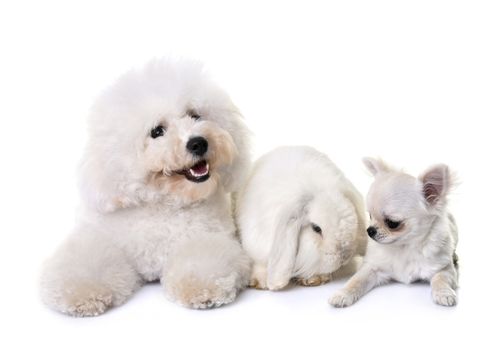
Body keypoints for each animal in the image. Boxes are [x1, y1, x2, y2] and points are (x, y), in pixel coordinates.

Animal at [39, 58, 252, 316]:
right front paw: (83, 292)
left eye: (195, 115)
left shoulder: (208, 236)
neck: (160, 203)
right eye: (157, 131)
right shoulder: (100, 238)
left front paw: (201, 288)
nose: (198, 142)